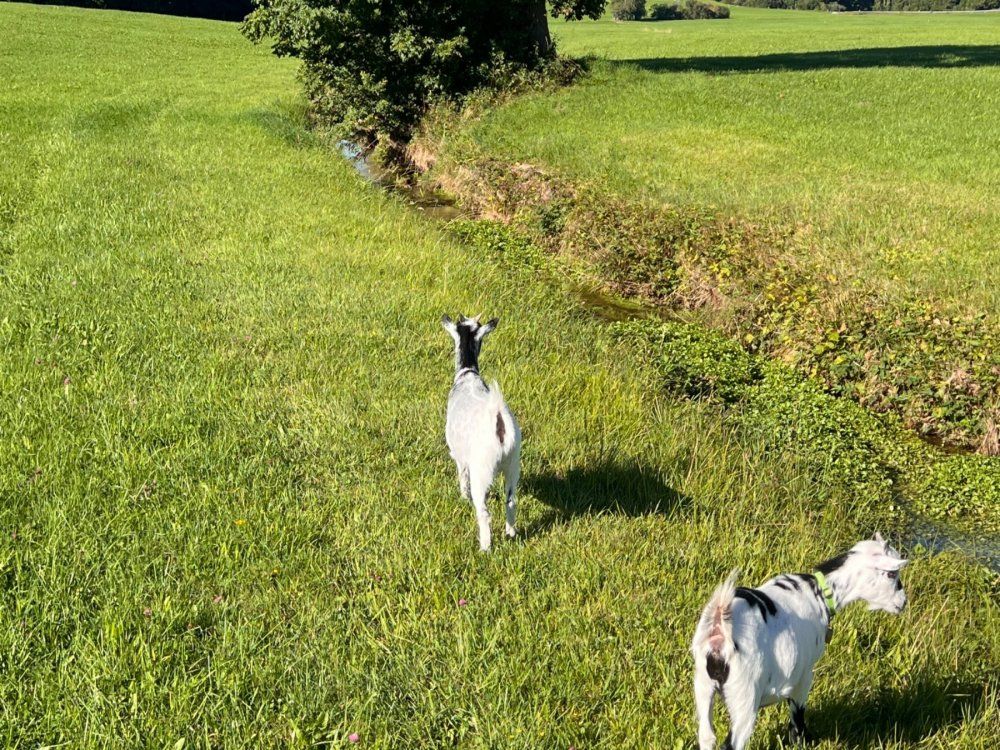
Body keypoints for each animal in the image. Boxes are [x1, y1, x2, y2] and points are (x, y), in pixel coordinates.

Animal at [441, 314, 521, 552]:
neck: (467, 376)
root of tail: (500, 424)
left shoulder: (459, 454)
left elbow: (462, 477)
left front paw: (462, 497)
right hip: (513, 464)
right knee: (511, 501)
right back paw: (510, 533)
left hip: (482, 469)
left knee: (484, 511)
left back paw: (485, 546)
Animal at [691, 533, 909, 750]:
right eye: (892, 575)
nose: (903, 602)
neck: (819, 594)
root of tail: (720, 631)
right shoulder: (804, 675)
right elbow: (797, 713)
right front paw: (802, 741)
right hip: (744, 695)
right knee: (732, 743)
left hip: (703, 685)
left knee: (707, 736)